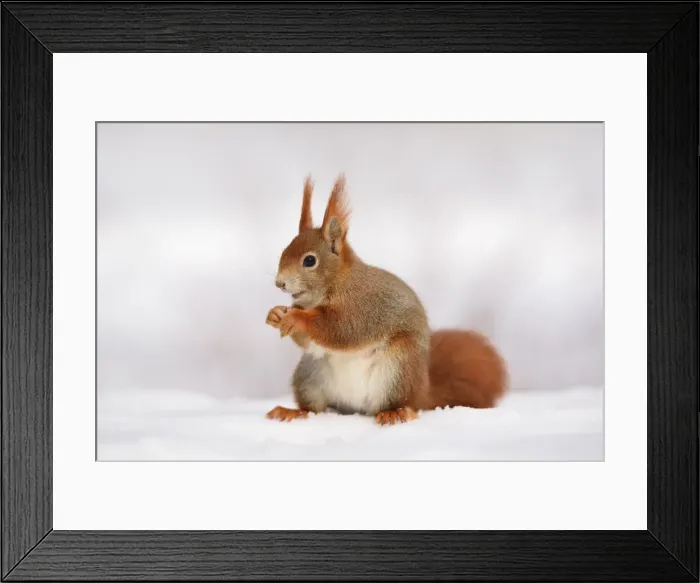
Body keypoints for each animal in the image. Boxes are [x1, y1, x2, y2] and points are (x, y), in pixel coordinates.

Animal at [265, 174, 509, 425]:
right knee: (316, 408)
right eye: (284, 251)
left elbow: (341, 329)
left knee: (399, 403)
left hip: (397, 369)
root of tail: (423, 390)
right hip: (310, 374)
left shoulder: (363, 306)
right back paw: (294, 411)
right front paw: (276, 314)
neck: (335, 285)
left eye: (310, 261)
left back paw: (395, 413)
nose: (279, 283)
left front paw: (296, 317)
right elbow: (309, 341)